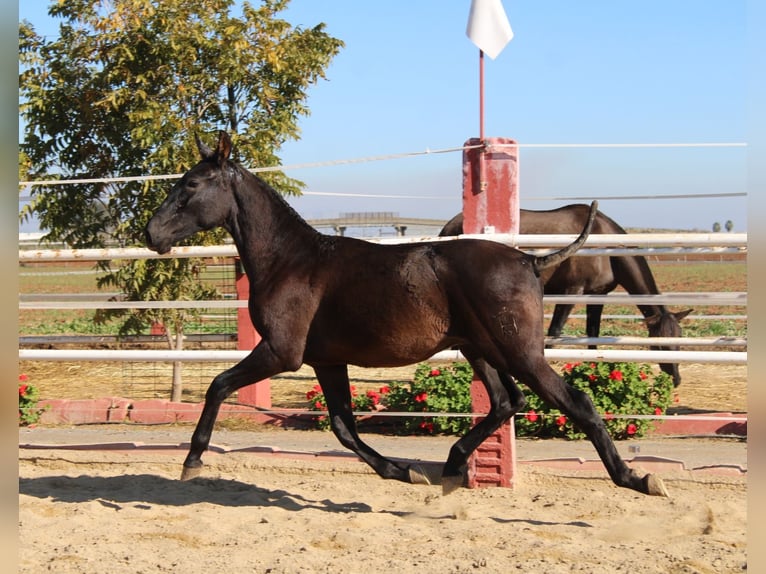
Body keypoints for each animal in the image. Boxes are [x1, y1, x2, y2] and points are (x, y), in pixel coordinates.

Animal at [147, 132, 668, 500]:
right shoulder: (326, 361)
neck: (291, 260)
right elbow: (344, 428)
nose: (151, 233)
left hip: (519, 352)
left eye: (190, 184)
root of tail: (530, 261)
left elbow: (218, 386)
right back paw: (452, 468)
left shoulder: (280, 352)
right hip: (480, 349)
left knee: (573, 401)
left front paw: (192, 460)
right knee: (507, 401)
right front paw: (405, 471)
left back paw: (638, 479)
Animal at [438, 207, 696, 388]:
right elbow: (554, 332)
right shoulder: (571, 291)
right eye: (659, 344)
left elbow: (593, 335)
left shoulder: (597, 296)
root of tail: (449, 226)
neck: (604, 245)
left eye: (680, 338)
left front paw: (594, 371)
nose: (676, 379)